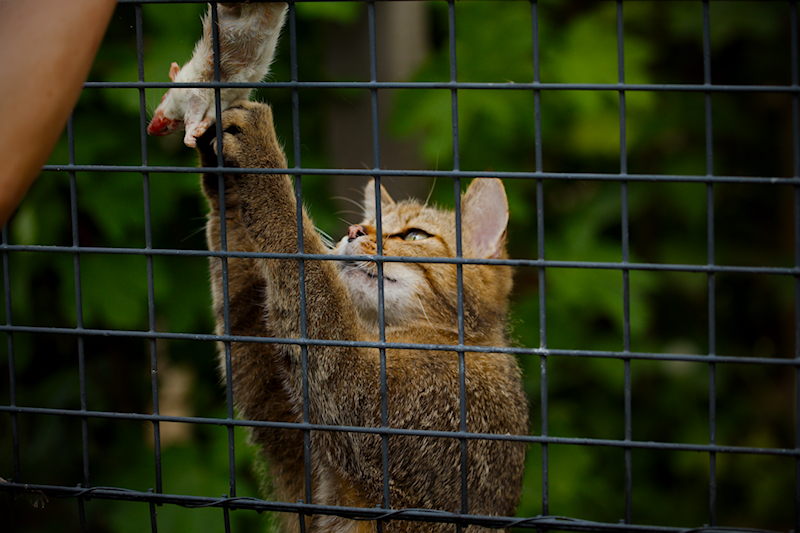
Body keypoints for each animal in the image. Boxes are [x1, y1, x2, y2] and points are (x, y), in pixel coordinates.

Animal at [196, 100, 529, 533]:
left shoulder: (354, 390)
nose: (354, 230)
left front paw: (263, 156)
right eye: (366, 225)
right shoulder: (286, 440)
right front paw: (226, 184)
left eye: (414, 236)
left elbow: (300, 254)